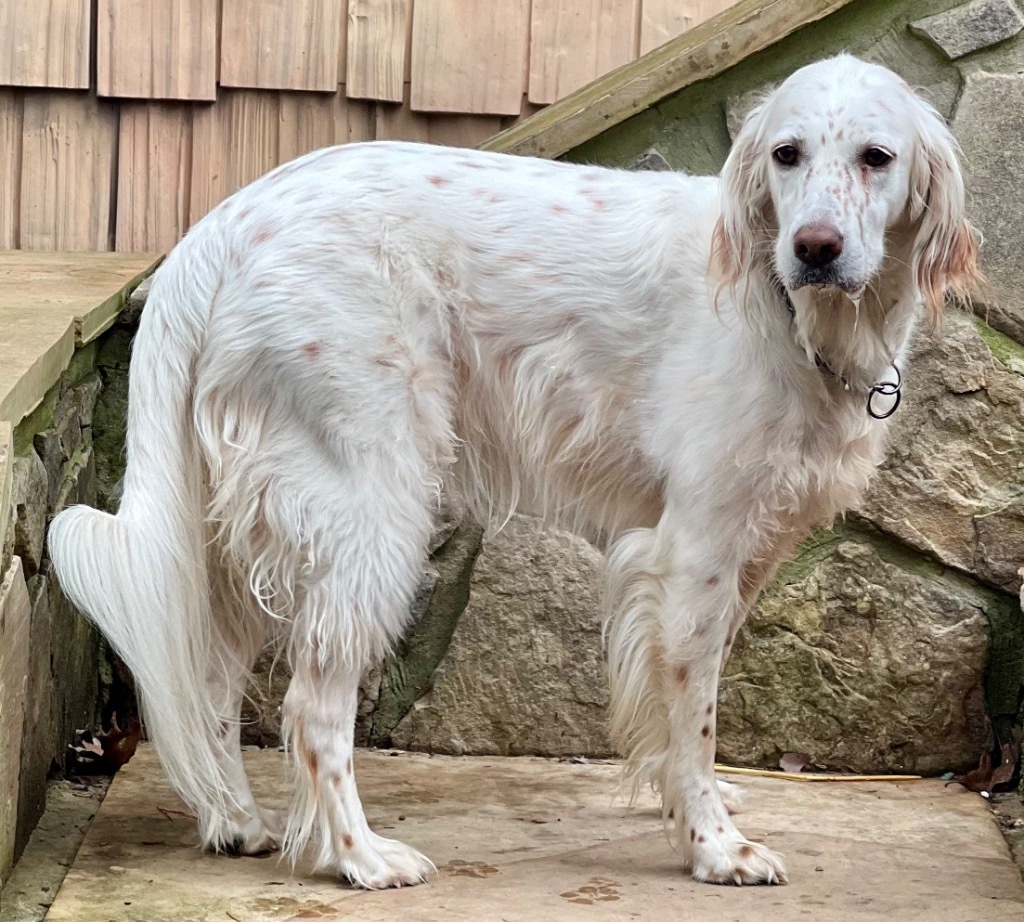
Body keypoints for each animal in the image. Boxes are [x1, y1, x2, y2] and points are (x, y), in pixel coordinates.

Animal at [51, 55, 978, 885]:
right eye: (788, 153)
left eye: (877, 157)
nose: (815, 247)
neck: (788, 308)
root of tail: (226, 219)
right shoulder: (694, 551)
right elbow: (694, 714)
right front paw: (713, 847)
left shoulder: (744, 553)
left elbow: (688, 709)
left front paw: (699, 807)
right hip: (370, 511)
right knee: (312, 709)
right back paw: (359, 858)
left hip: (251, 524)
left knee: (206, 674)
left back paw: (235, 820)